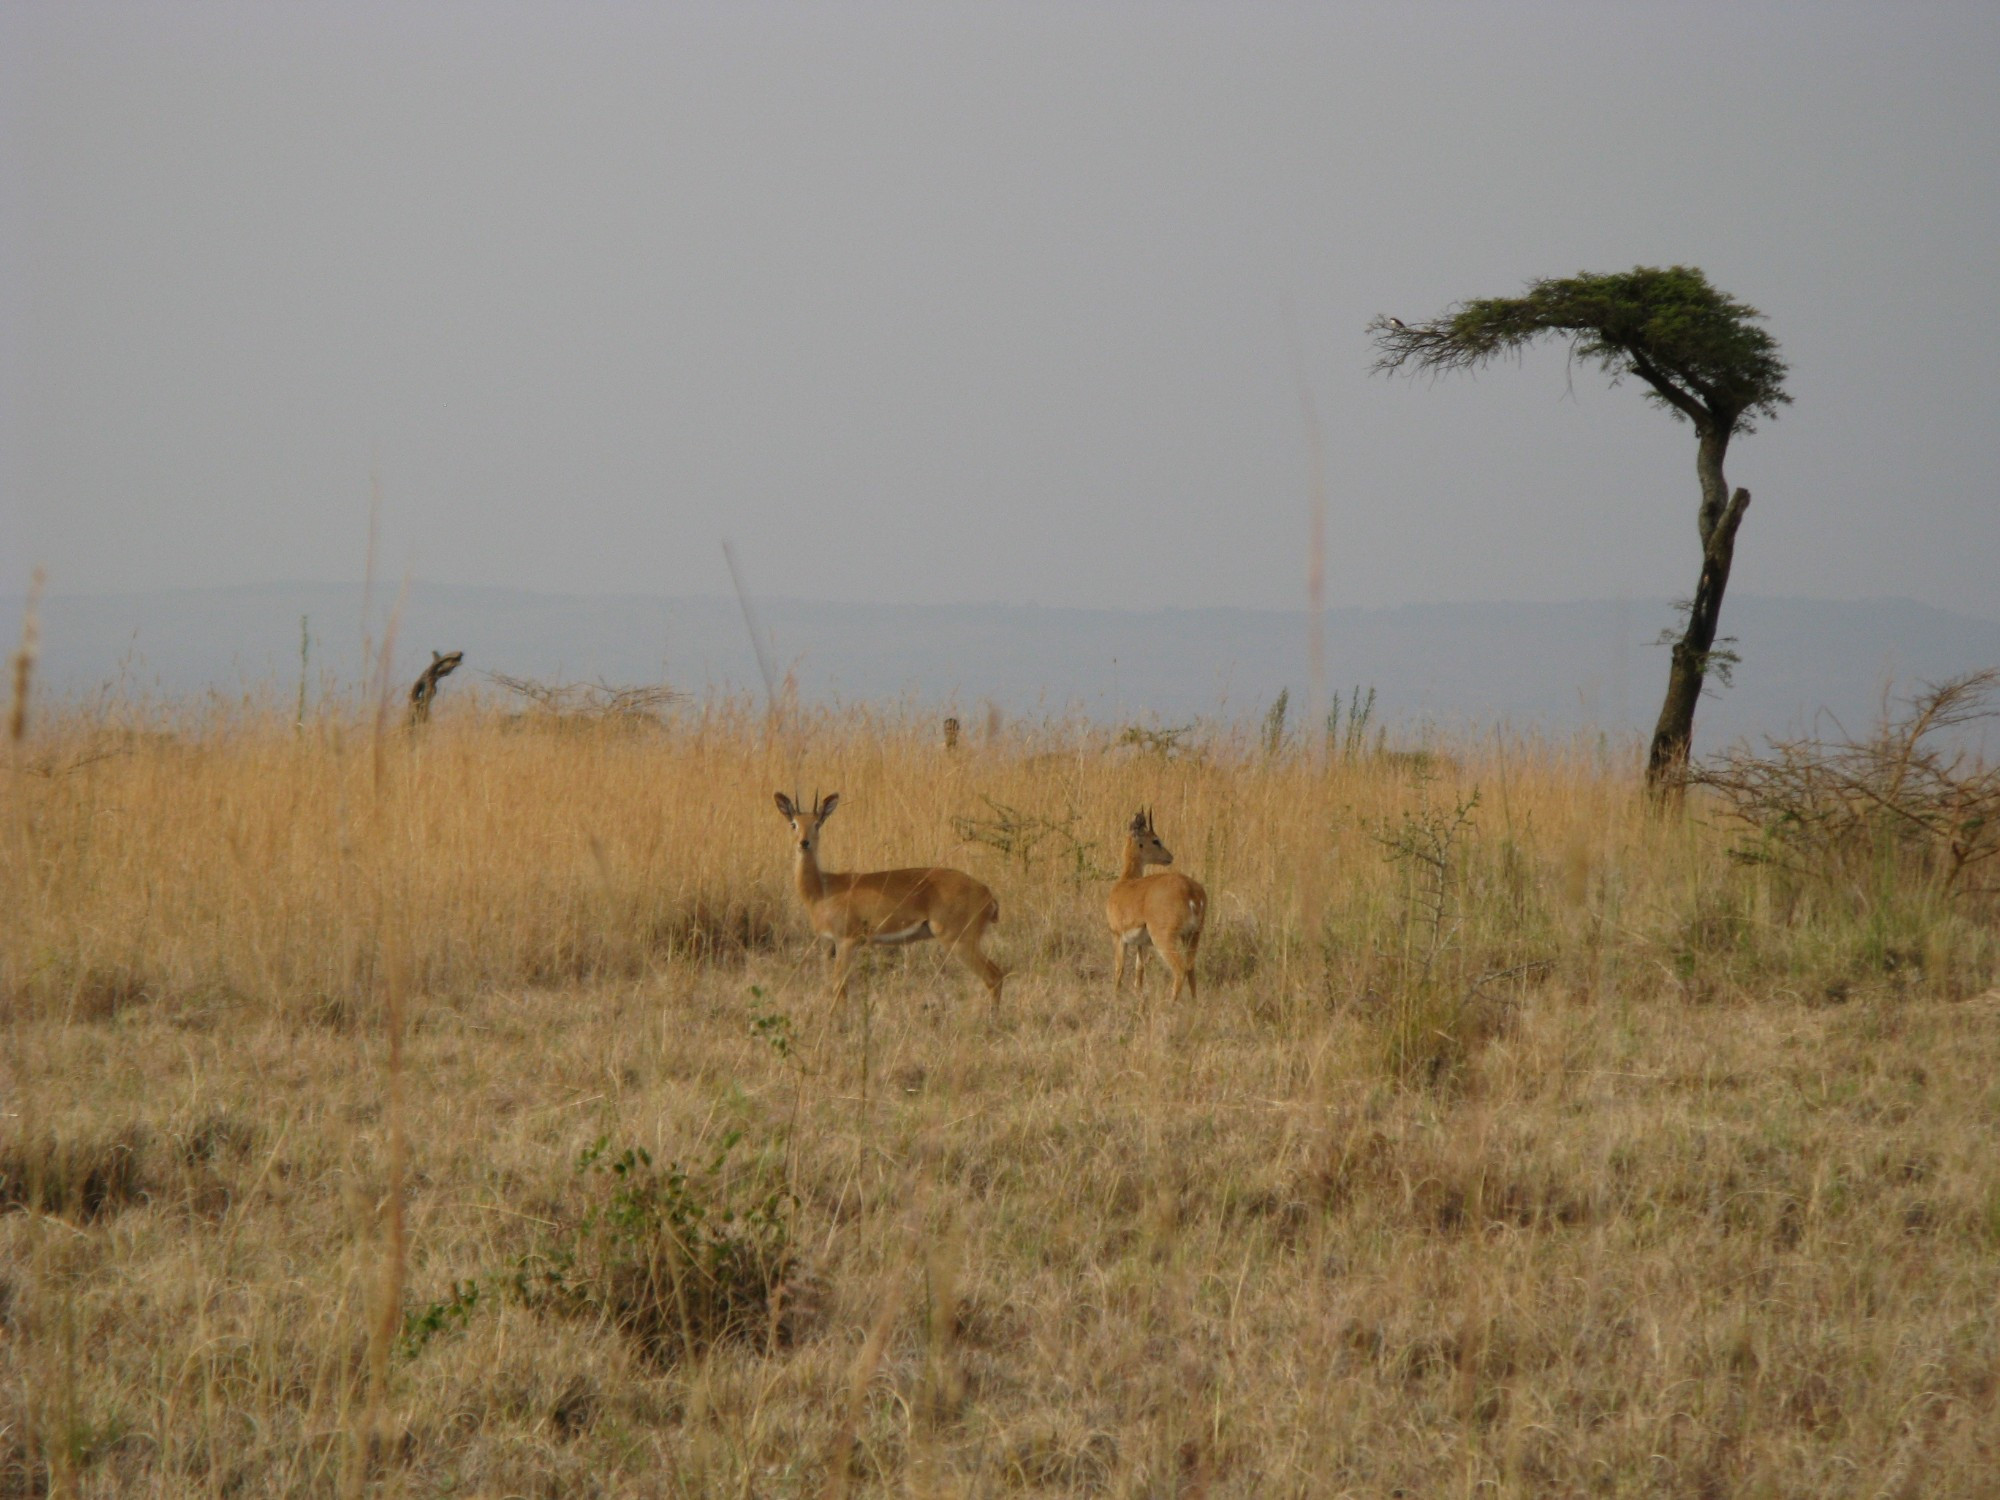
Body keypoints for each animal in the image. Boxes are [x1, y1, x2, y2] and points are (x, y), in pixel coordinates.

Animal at [1112, 804, 1200, 1004]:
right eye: (1155, 840)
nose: (1170, 857)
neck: (1125, 883)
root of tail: (1190, 890)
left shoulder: (1119, 937)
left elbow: (1119, 970)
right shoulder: (1141, 944)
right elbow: (1139, 972)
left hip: (1164, 939)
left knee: (1180, 969)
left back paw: (1171, 1003)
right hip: (1192, 936)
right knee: (1191, 968)